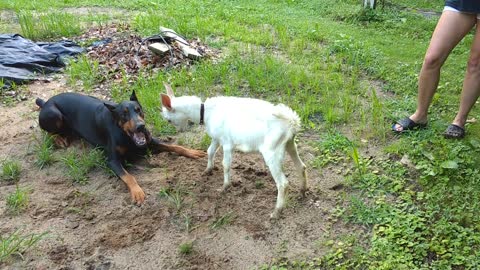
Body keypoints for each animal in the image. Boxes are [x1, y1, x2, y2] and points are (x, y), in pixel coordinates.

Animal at [159, 81, 306, 217]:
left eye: (168, 120)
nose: (180, 130)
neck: (207, 112)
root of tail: (292, 122)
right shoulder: (216, 138)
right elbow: (209, 151)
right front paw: (208, 170)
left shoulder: (227, 143)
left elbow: (226, 164)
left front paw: (224, 187)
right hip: (289, 144)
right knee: (301, 166)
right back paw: (303, 192)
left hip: (271, 151)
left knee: (283, 183)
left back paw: (276, 212)